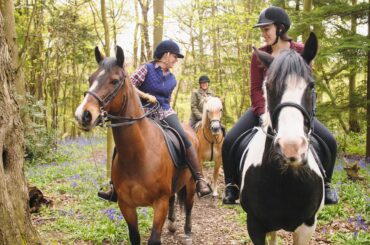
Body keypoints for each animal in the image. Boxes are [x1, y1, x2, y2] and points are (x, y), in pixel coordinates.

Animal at [74, 46, 198, 245]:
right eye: (90, 79)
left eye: (115, 81)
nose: (83, 115)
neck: (139, 155)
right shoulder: (126, 205)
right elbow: (134, 237)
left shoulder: (160, 203)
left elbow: (154, 239)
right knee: (174, 199)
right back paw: (172, 225)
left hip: (191, 183)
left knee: (188, 206)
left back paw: (187, 233)